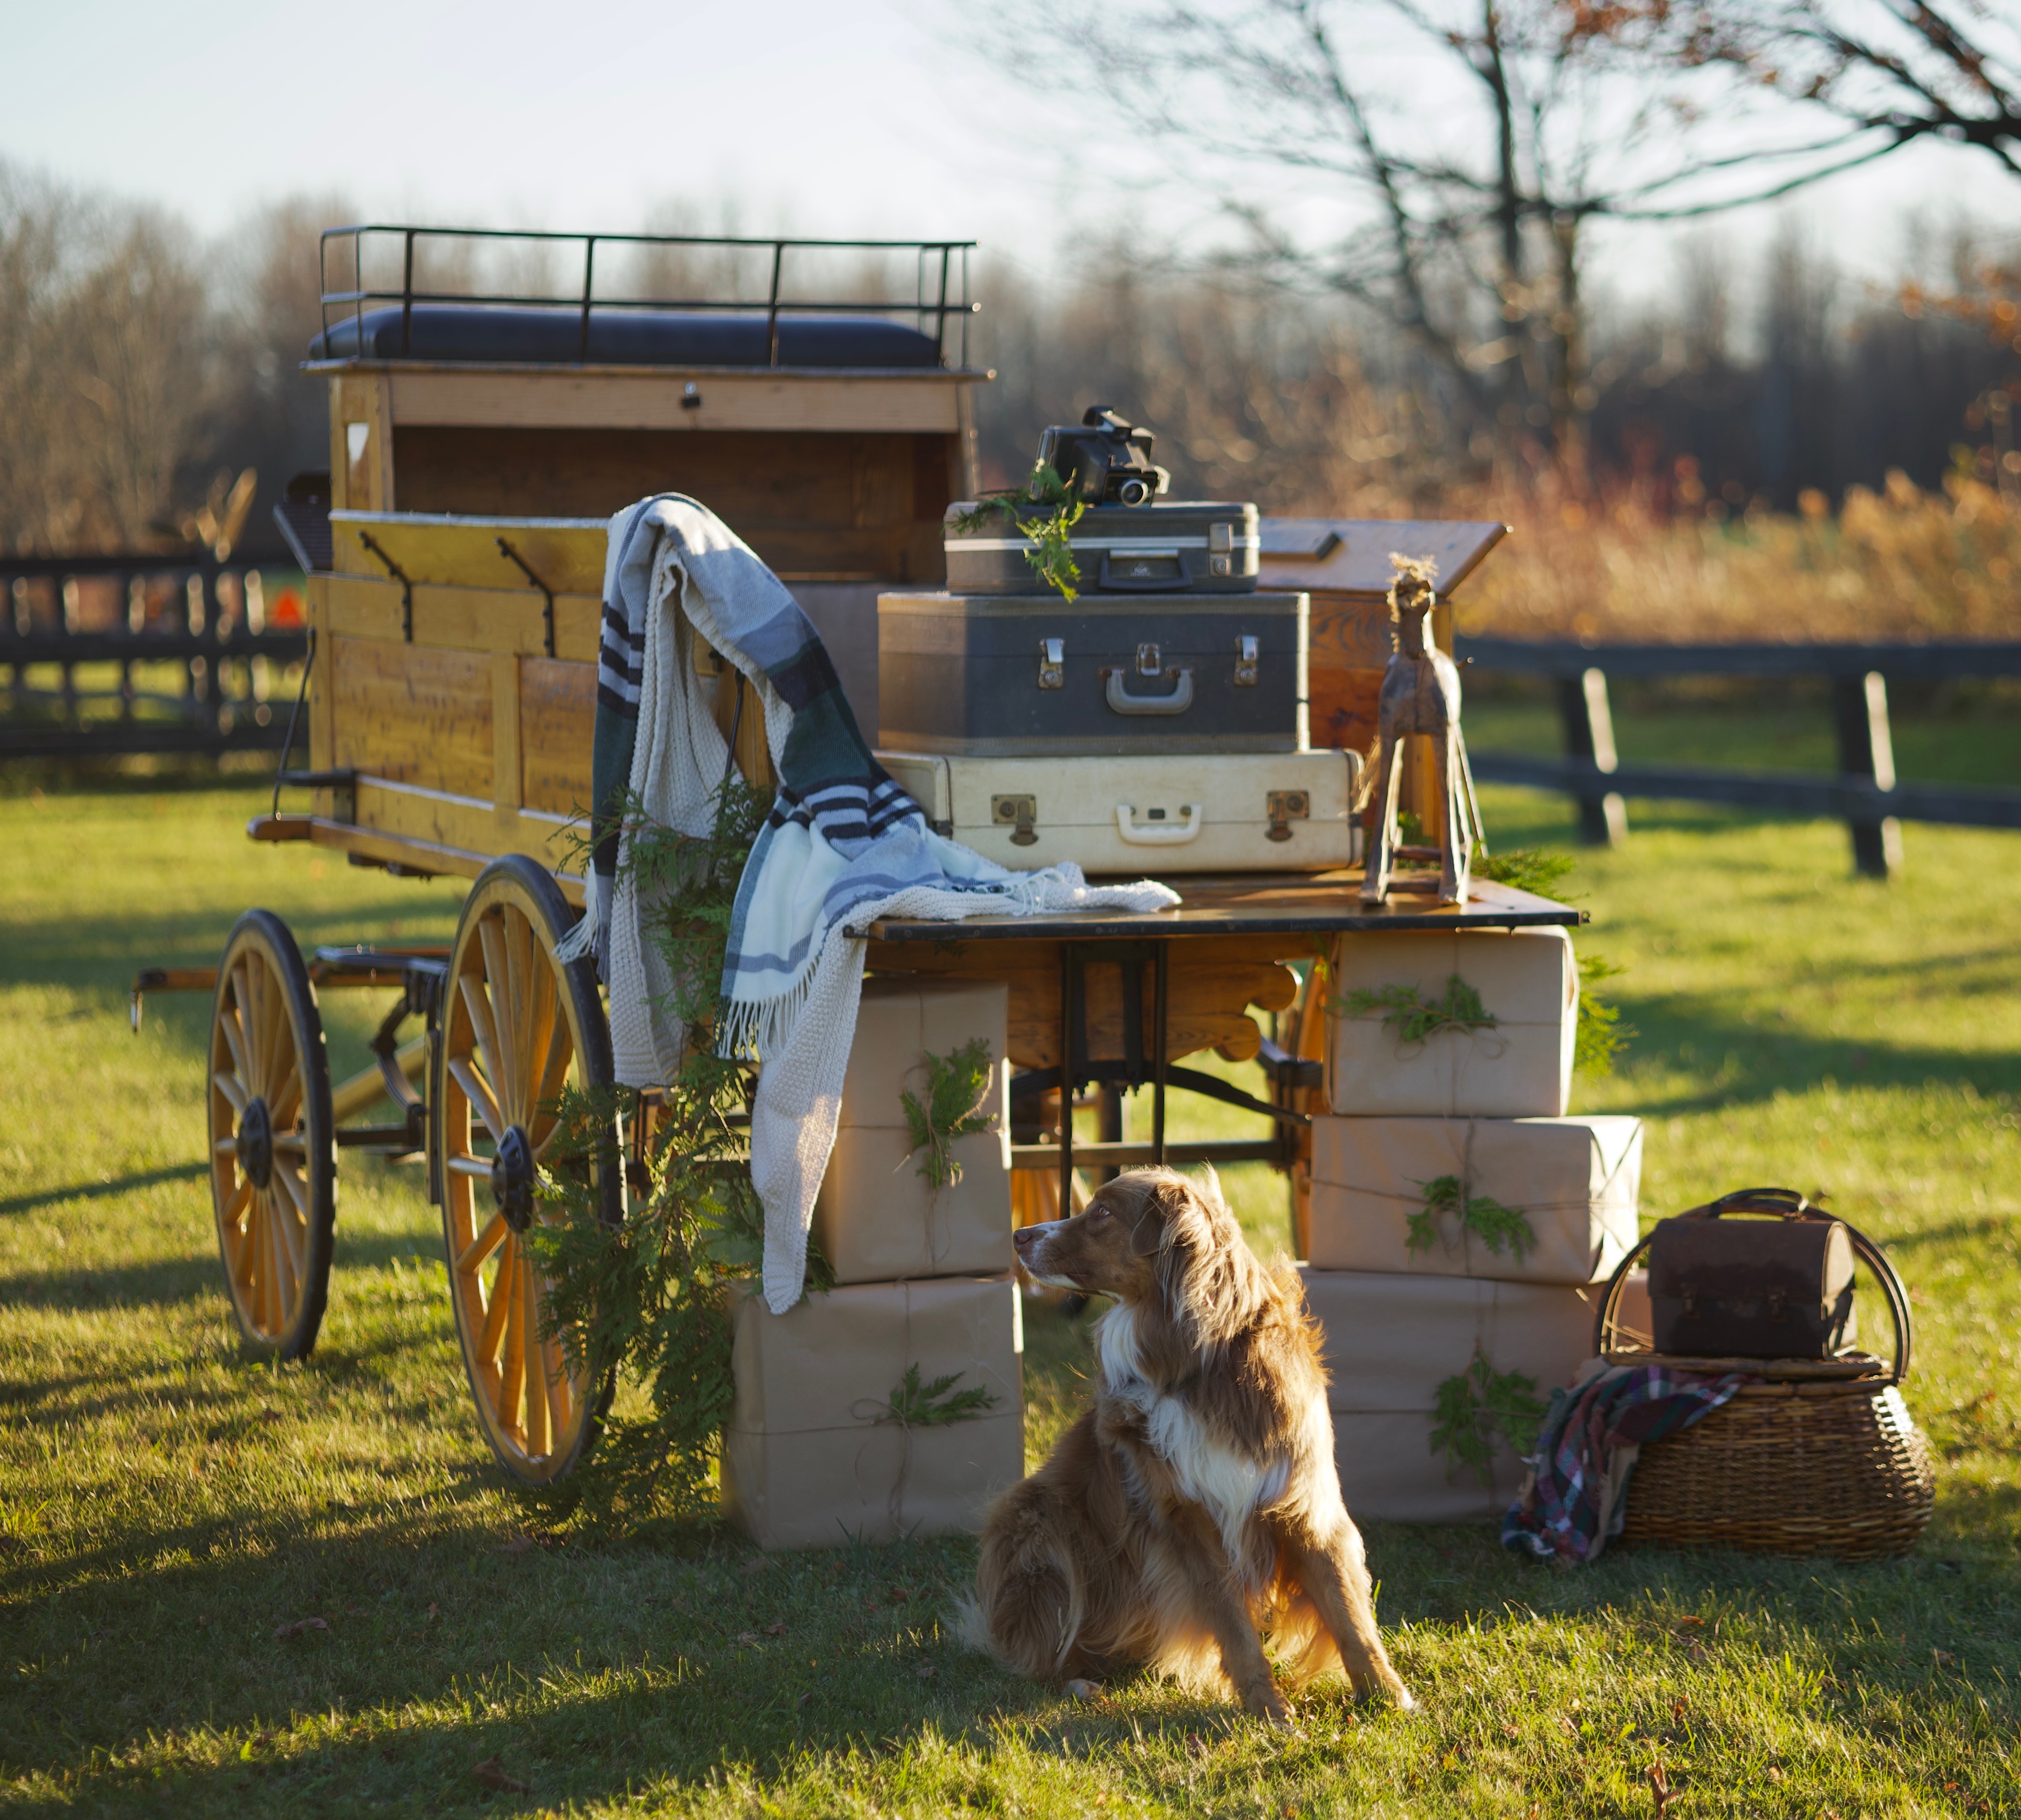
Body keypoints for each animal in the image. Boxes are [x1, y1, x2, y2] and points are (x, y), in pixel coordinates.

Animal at [970, 1163, 1414, 1721]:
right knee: (1044, 1647)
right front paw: (1270, 1711)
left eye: (1102, 1212)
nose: (1018, 1235)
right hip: (1036, 1513)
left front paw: (1389, 1697)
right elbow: (1233, 1624)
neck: (1195, 1365)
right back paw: (1079, 1682)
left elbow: (1348, 1613)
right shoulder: (1186, 1517)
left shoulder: (1301, 1501)